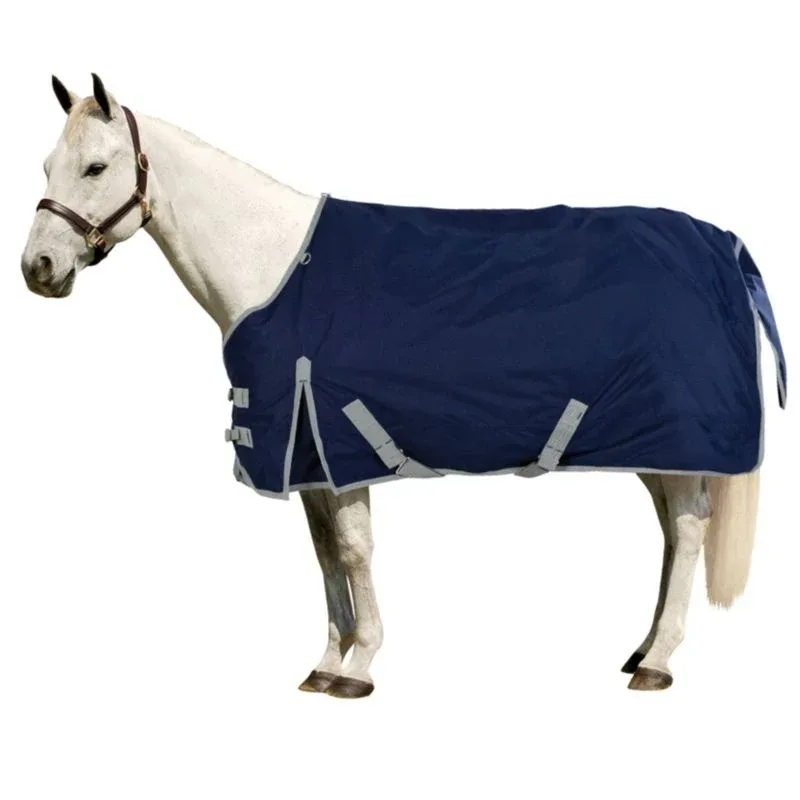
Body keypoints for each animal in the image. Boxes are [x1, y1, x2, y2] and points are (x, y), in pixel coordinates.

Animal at [20, 73, 783, 699]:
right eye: (48, 165)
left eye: (96, 166)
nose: (38, 268)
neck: (274, 266)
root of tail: (721, 243)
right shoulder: (307, 454)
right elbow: (325, 553)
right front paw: (326, 663)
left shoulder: (336, 440)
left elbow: (354, 550)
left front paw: (359, 668)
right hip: (654, 444)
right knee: (672, 531)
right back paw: (642, 649)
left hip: (677, 436)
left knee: (688, 530)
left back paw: (659, 662)